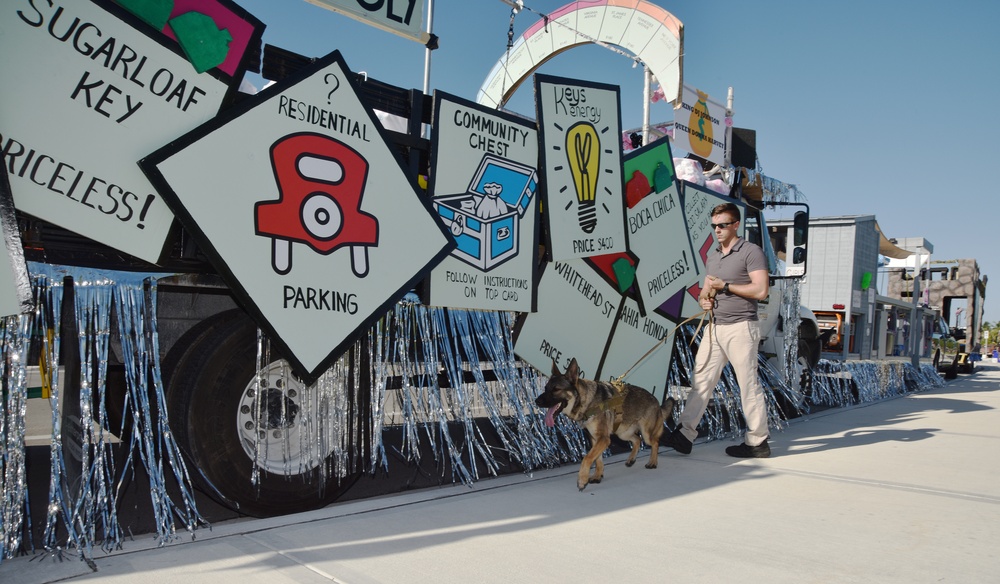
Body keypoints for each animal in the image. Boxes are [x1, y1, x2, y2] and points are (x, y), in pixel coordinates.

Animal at [536, 358, 676, 490]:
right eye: (545, 388)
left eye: (556, 389)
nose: (536, 401)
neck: (587, 401)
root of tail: (657, 402)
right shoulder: (595, 439)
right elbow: (597, 460)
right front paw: (597, 476)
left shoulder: (603, 439)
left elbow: (587, 458)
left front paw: (582, 480)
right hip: (622, 433)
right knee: (637, 439)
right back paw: (631, 459)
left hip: (646, 433)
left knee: (655, 442)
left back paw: (652, 462)